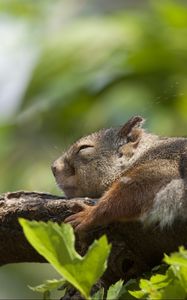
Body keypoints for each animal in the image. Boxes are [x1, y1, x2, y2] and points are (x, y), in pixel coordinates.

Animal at [50, 116, 187, 232]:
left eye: (84, 148)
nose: (53, 167)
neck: (143, 154)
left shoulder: (163, 166)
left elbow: (132, 192)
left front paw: (89, 214)